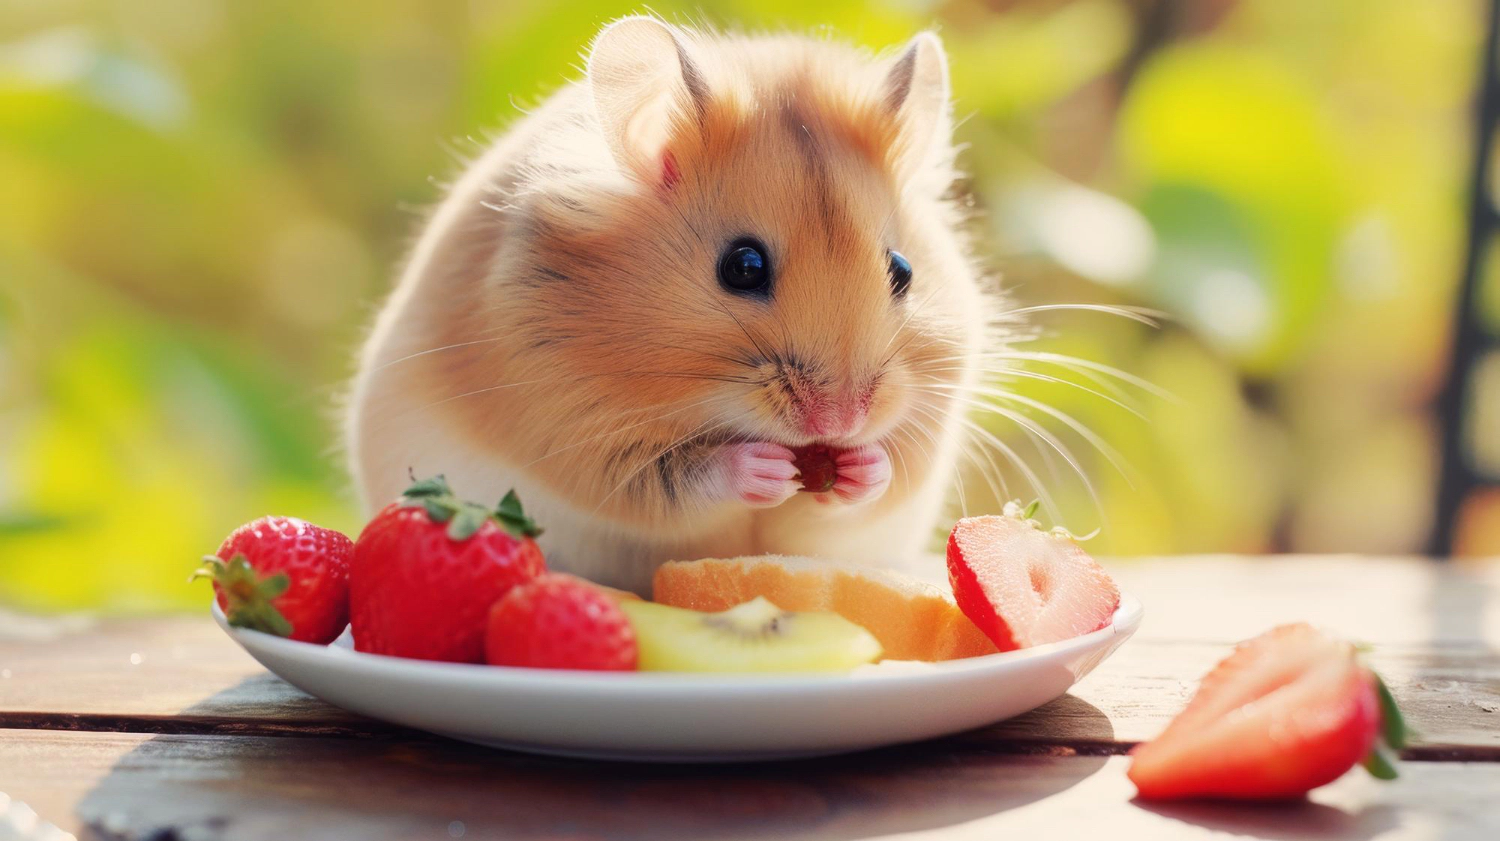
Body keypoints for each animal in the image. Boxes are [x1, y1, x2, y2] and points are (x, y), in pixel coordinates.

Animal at [345, 17, 993, 594]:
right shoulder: (573, 427)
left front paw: (861, 467)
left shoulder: (921, 436)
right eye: (742, 266)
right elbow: (678, 480)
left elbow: (875, 484)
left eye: (902, 271)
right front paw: (763, 468)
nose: (838, 423)